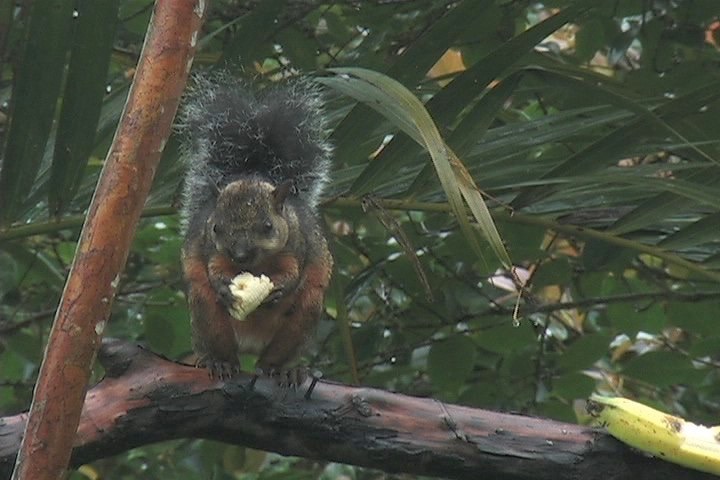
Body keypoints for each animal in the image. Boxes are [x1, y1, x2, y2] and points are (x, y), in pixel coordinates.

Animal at [176, 73, 334, 384]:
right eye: (216, 228)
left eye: (268, 226)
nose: (240, 255)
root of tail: (250, 342)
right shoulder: (212, 251)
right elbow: (213, 269)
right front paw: (224, 288)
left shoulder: (296, 247)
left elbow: (293, 274)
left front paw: (279, 289)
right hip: (206, 314)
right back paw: (219, 362)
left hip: (304, 315)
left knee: (275, 354)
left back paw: (283, 369)